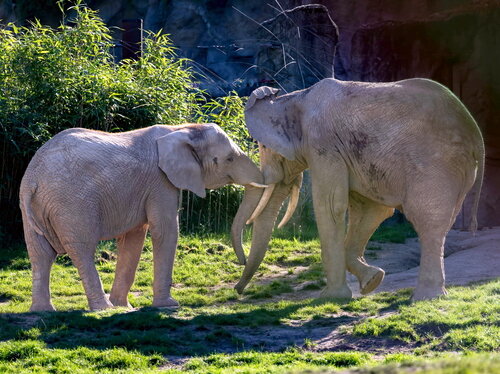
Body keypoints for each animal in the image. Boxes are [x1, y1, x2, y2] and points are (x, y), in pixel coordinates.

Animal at [21, 122, 268, 310]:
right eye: (229, 159)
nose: (242, 262)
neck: (182, 129)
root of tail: (33, 178)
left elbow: (134, 237)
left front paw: (124, 307)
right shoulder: (161, 182)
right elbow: (165, 232)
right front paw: (169, 305)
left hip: (33, 207)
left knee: (40, 254)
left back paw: (44, 311)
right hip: (72, 204)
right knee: (82, 250)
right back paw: (103, 309)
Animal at [232, 78, 486, 300]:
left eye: (264, 147)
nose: (237, 291)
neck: (295, 97)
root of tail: (476, 133)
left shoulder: (323, 144)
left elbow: (330, 205)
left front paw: (331, 298)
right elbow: (372, 211)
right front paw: (373, 280)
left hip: (435, 163)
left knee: (427, 219)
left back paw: (426, 298)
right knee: (441, 222)